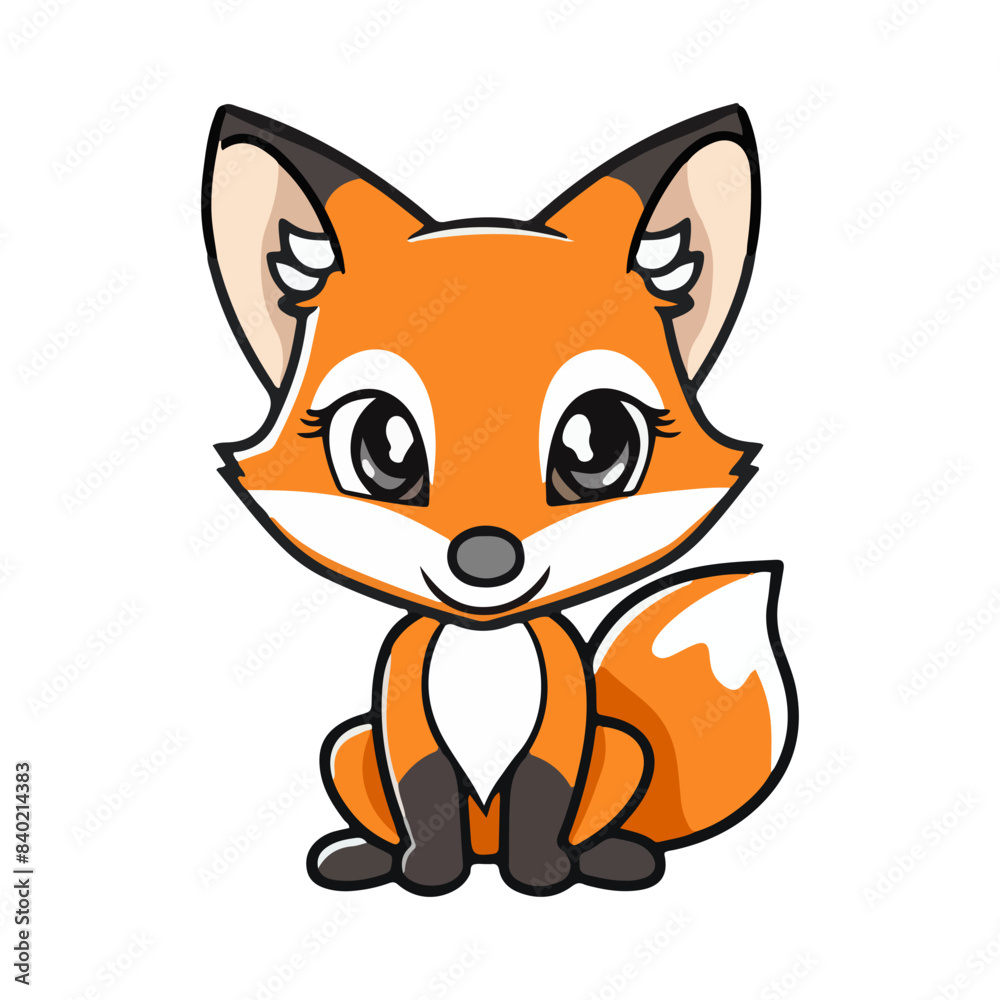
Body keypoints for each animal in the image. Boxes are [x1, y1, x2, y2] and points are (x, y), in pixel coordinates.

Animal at [202, 103, 798, 896]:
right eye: (385, 446)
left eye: (596, 444)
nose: (486, 558)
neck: (485, 640)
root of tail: (485, 841)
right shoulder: (399, 710)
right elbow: (425, 790)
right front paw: (428, 875)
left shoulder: (567, 713)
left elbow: (543, 791)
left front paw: (541, 874)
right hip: (351, 744)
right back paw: (367, 857)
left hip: (622, 745)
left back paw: (607, 856)